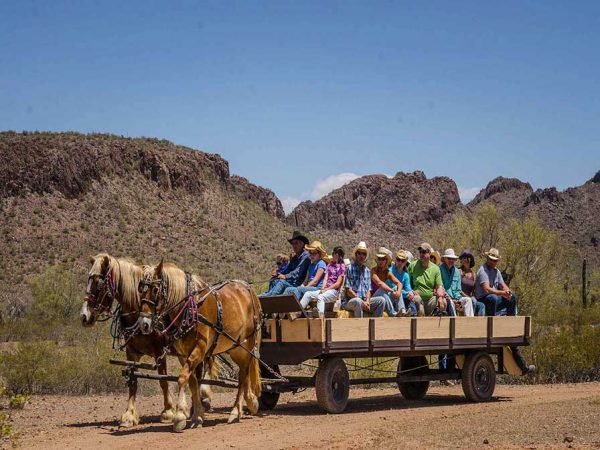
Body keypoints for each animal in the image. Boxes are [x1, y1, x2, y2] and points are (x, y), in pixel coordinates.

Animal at [79, 255, 211, 428]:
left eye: (98, 283)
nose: (84, 316)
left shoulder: (159, 351)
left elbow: (163, 380)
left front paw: (168, 411)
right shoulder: (131, 352)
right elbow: (133, 381)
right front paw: (129, 415)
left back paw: (201, 403)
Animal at [141, 260, 262, 432]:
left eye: (155, 289)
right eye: (140, 288)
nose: (144, 324)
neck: (190, 308)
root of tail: (249, 289)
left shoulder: (200, 348)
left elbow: (182, 378)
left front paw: (179, 417)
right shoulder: (183, 354)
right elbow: (192, 382)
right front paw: (197, 416)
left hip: (246, 345)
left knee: (244, 373)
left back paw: (236, 411)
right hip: (235, 346)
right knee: (244, 374)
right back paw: (247, 404)